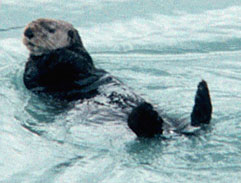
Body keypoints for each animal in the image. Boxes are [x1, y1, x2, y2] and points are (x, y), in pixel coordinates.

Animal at [22, 18, 211, 138]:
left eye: (51, 29)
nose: (28, 31)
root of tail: (172, 131)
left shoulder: (84, 62)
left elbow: (80, 60)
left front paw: (60, 53)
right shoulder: (33, 76)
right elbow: (32, 76)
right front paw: (52, 55)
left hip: (174, 118)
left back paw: (201, 91)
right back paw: (146, 113)